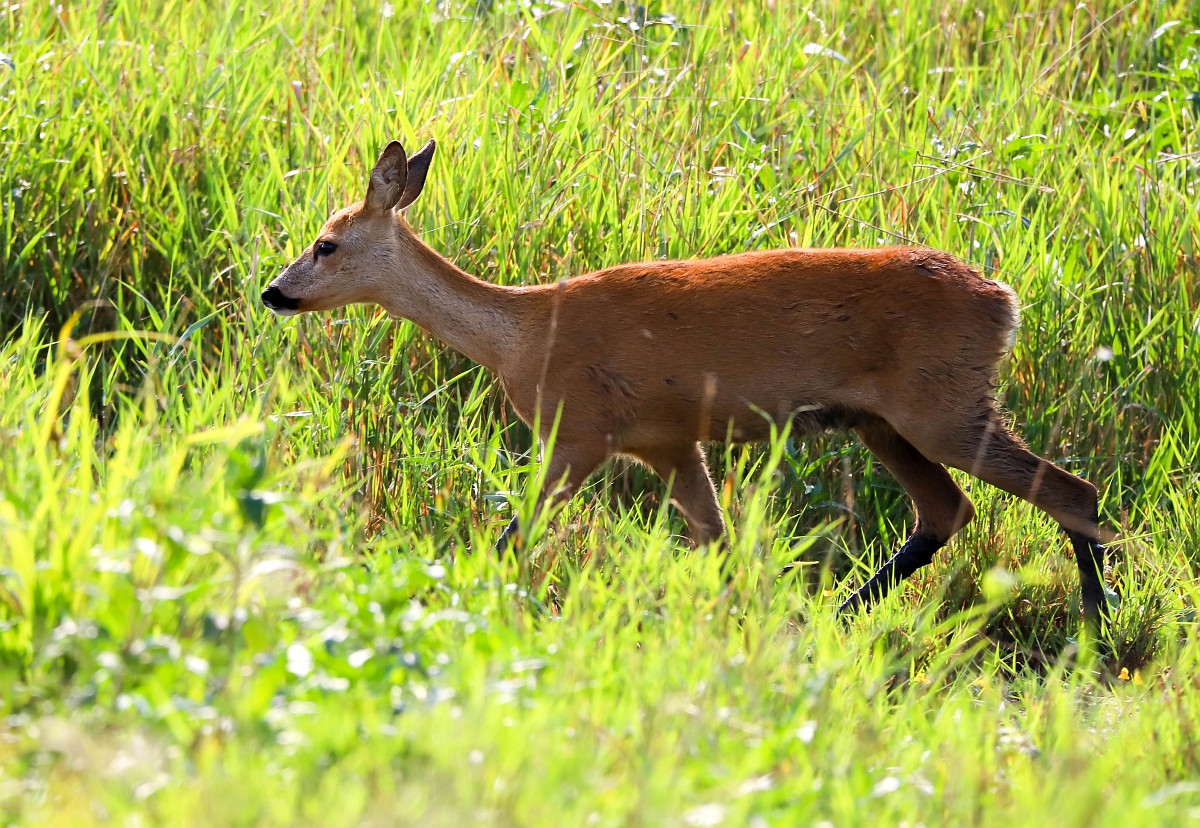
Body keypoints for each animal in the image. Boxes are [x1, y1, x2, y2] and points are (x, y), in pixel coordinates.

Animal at [261, 139, 1113, 639]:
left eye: (326, 243)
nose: (274, 292)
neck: (522, 334)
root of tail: (1003, 301)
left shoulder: (579, 431)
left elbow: (515, 535)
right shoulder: (670, 444)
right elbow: (720, 545)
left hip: (942, 405)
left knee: (1070, 491)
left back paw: (1097, 626)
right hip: (884, 421)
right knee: (948, 510)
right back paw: (837, 616)